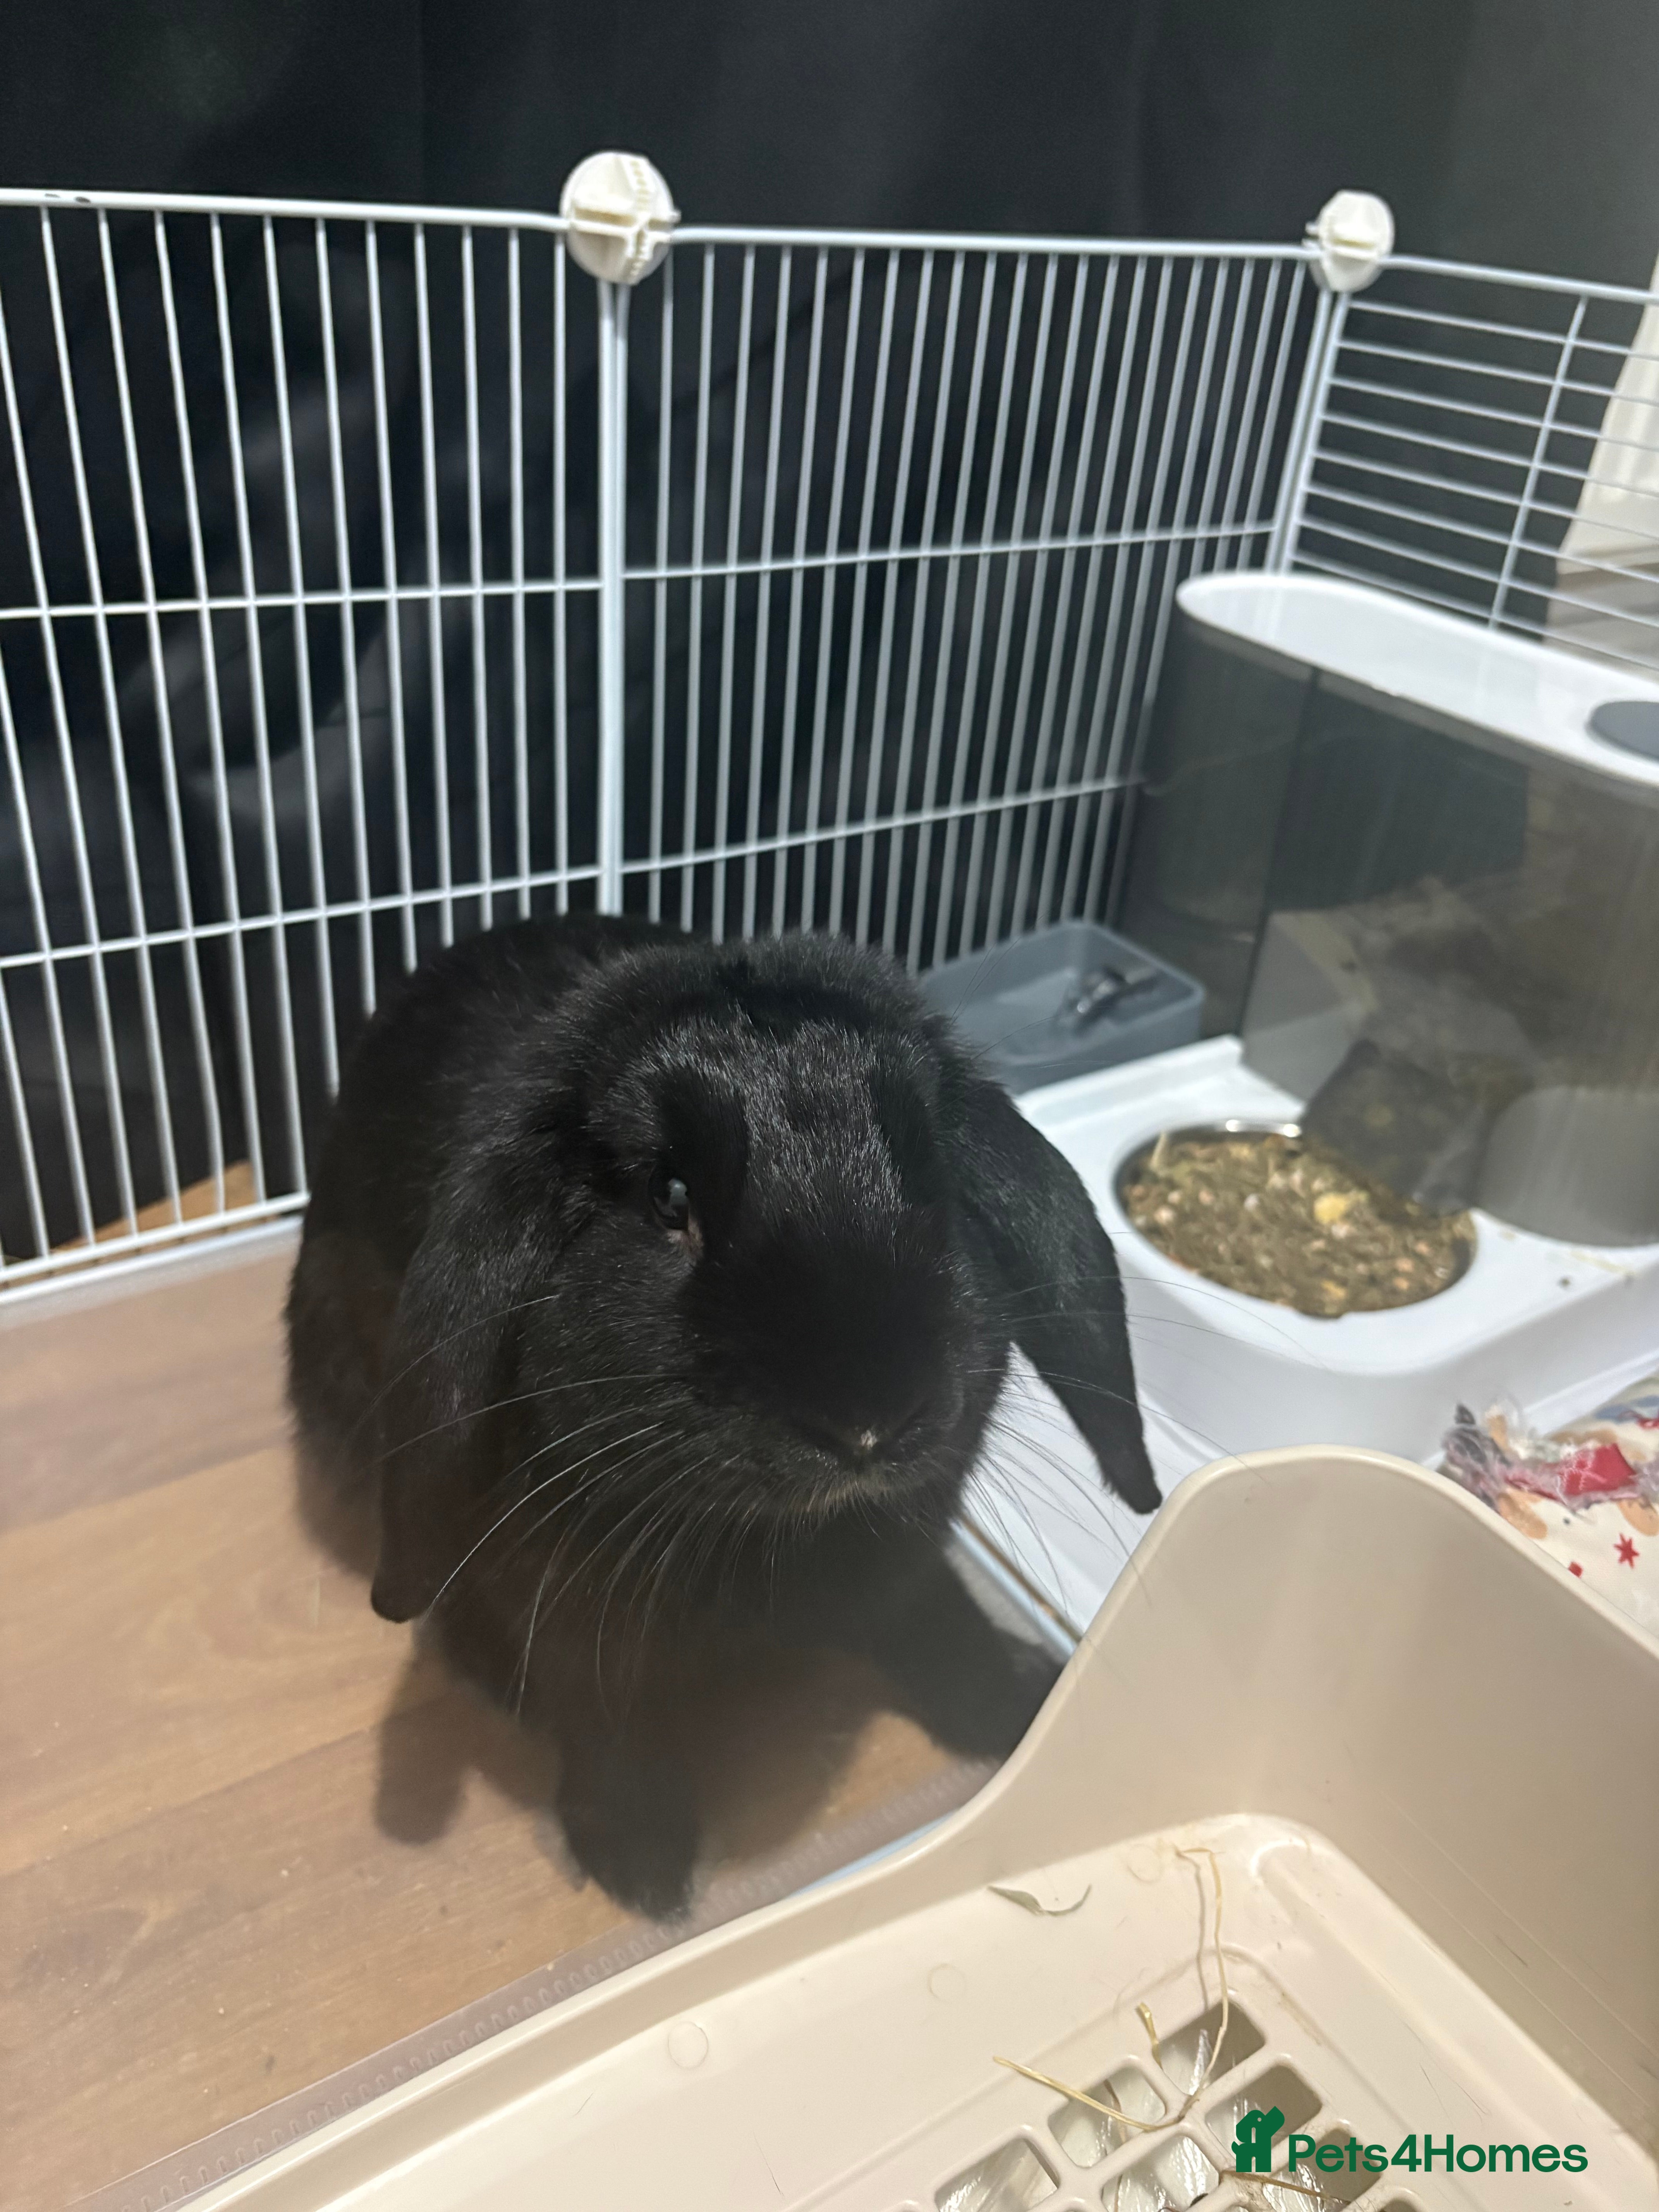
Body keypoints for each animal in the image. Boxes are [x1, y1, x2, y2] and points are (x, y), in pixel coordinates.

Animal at [286, 914, 1160, 1916]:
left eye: (932, 1171)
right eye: (669, 1197)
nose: (867, 1420)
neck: (768, 1539)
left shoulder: (907, 1554)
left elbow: (933, 1613)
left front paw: (1021, 1698)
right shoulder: (573, 1617)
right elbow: (602, 1713)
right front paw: (644, 1865)